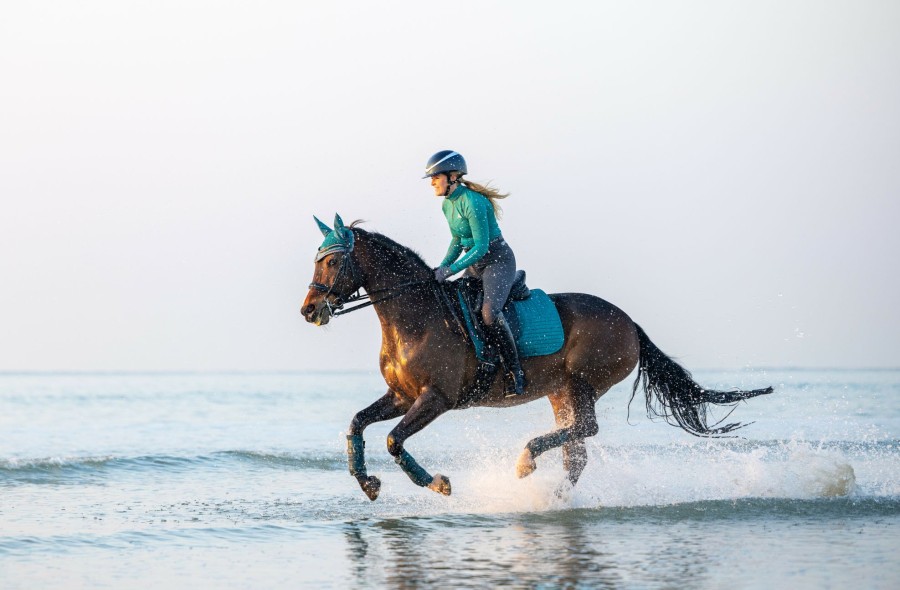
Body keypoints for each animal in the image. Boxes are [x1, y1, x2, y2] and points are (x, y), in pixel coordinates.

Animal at [302, 215, 772, 502]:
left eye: (333, 261)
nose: (309, 310)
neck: (416, 317)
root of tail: (629, 323)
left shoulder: (436, 398)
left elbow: (393, 440)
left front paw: (437, 484)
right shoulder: (401, 395)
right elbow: (357, 424)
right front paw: (368, 483)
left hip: (583, 382)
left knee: (585, 430)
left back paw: (527, 462)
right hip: (561, 391)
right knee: (577, 450)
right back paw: (553, 497)